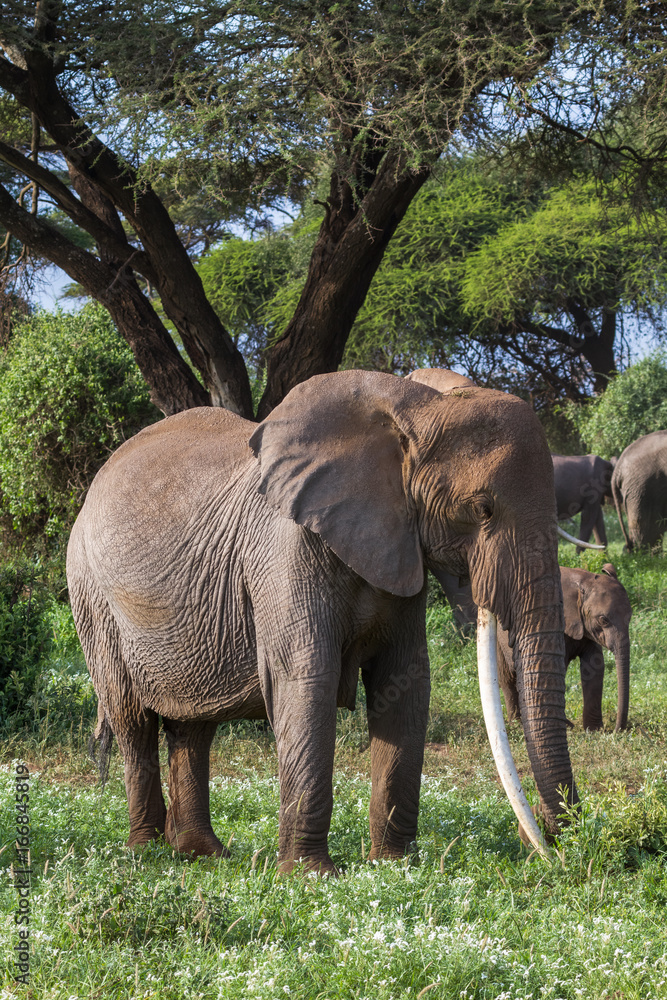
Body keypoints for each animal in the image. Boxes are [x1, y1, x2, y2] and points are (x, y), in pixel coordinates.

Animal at [67, 369, 577, 873]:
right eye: (483, 509)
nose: (552, 842)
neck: (414, 403)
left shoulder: (400, 543)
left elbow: (404, 683)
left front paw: (393, 867)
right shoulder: (283, 550)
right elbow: (306, 679)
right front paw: (311, 876)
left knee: (194, 725)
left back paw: (202, 854)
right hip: (92, 595)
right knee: (132, 718)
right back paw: (146, 855)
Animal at [496, 564, 632, 732]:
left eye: (630, 616)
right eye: (603, 620)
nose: (617, 730)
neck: (583, 582)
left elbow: (594, 666)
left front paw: (594, 730)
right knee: (508, 677)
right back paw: (518, 723)